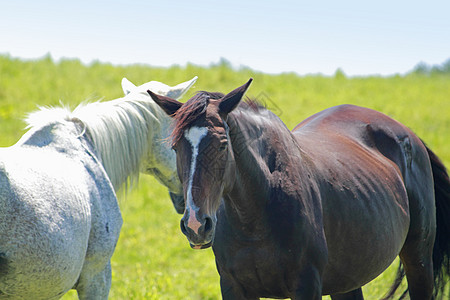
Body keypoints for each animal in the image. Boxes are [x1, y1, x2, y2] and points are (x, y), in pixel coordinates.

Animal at [149, 78, 450, 298]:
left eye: (223, 145)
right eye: (175, 147)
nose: (195, 225)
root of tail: (408, 135)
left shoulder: (306, 286)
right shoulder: (233, 287)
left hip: (419, 259)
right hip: (349, 279)